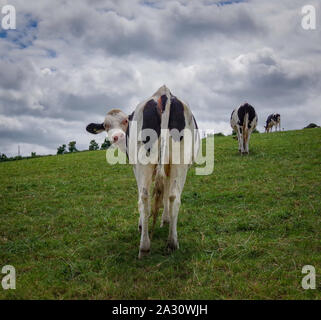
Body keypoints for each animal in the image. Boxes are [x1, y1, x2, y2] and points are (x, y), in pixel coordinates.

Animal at [86, 85, 199, 260]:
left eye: (125, 121)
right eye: (105, 125)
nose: (117, 137)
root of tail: (164, 94)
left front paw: (145, 223)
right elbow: (166, 195)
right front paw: (165, 220)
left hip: (142, 164)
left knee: (144, 198)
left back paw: (144, 246)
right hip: (180, 161)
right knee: (174, 197)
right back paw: (172, 243)